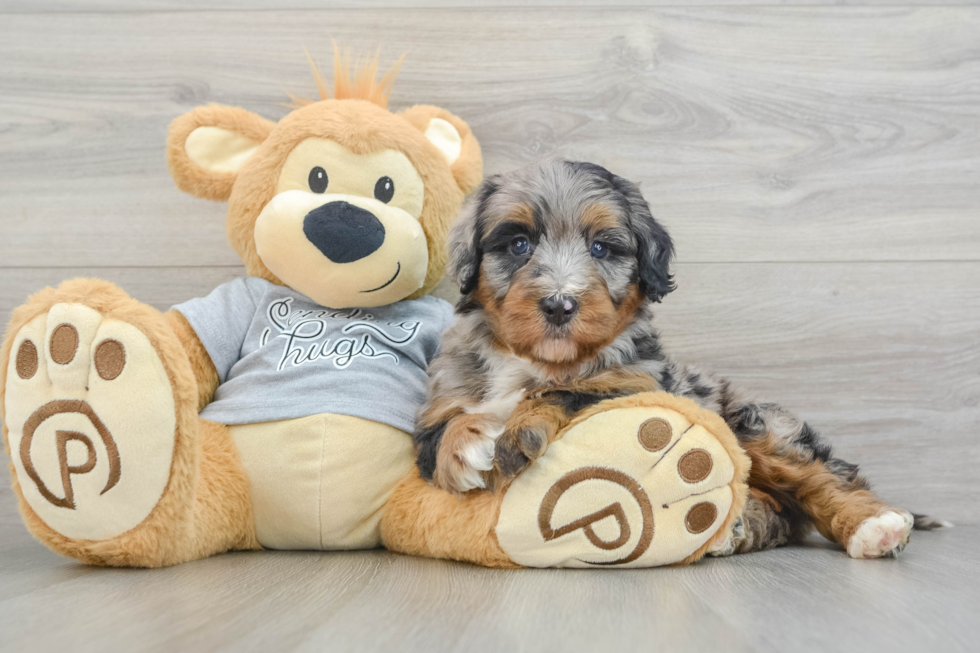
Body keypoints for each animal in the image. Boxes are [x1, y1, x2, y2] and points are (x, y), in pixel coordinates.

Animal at [416, 159, 948, 560]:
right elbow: (440, 431)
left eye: (601, 248)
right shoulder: (442, 396)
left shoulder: (637, 385)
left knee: (820, 478)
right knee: (781, 511)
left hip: (756, 425)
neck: (536, 361)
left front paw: (515, 431)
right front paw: (468, 445)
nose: (560, 304)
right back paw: (738, 527)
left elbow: (570, 390)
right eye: (518, 243)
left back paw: (873, 525)